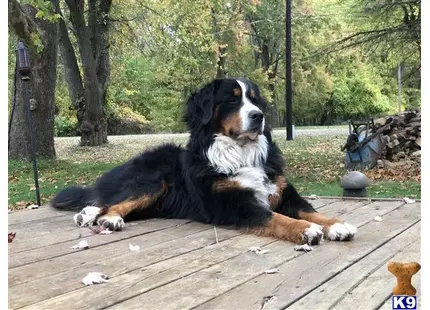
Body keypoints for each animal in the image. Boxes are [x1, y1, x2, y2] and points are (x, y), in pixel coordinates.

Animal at [52, 77, 358, 245]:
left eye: (255, 99)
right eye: (232, 100)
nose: (258, 116)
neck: (241, 153)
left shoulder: (283, 192)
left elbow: (310, 211)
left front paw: (336, 224)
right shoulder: (235, 204)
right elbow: (278, 218)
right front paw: (306, 230)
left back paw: (89, 215)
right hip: (153, 181)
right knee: (110, 203)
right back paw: (105, 219)